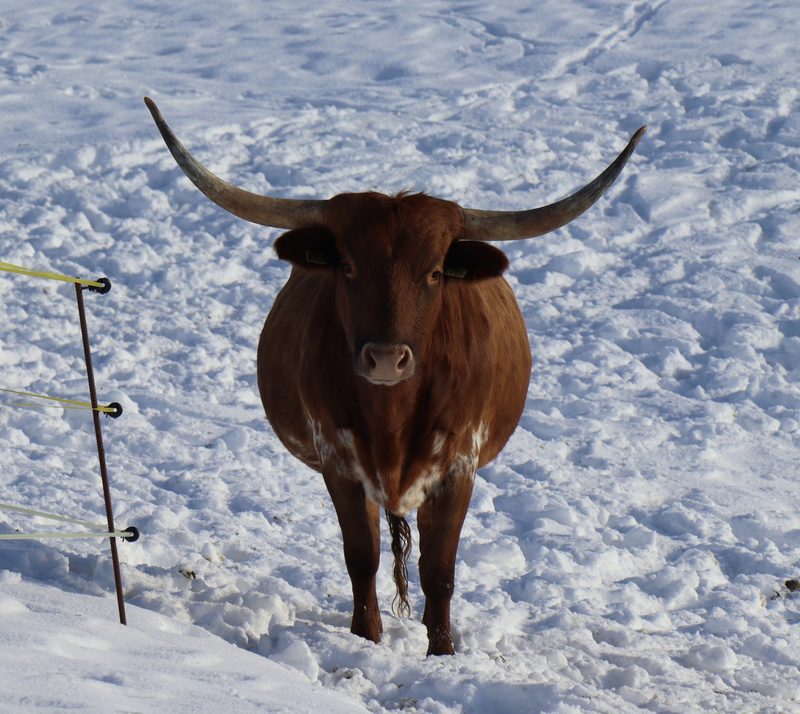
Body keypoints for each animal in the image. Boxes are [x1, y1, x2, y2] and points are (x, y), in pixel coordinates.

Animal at [145, 97, 644, 655]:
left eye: (434, 272)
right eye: (347, 266)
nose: (386, 359)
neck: (392, 417)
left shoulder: (458, 465)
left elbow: (439, 571)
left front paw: (442, 653)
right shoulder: (338, 458)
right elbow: (362, 557)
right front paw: (367, 639)